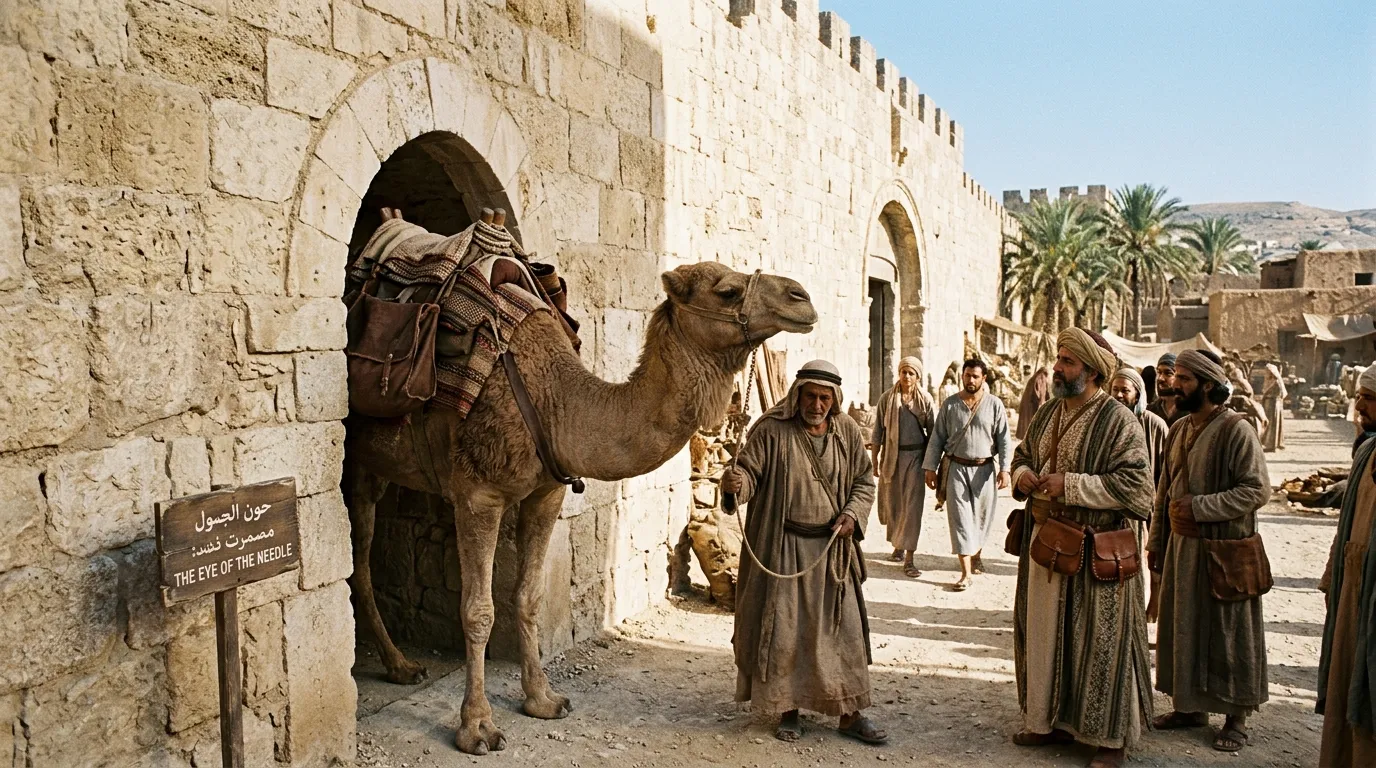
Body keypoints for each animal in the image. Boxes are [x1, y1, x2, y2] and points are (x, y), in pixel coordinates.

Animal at [343, 219, 818, 755]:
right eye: (727, 290)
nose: (801, 298)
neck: (555, 399)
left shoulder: (545, 493)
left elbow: (528, 597)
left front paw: (542, 700)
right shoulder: (477, 494)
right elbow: (478, 610)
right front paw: (478, 727)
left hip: (377, 467)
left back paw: (400, 665)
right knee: (359, 561)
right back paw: (401, 665)